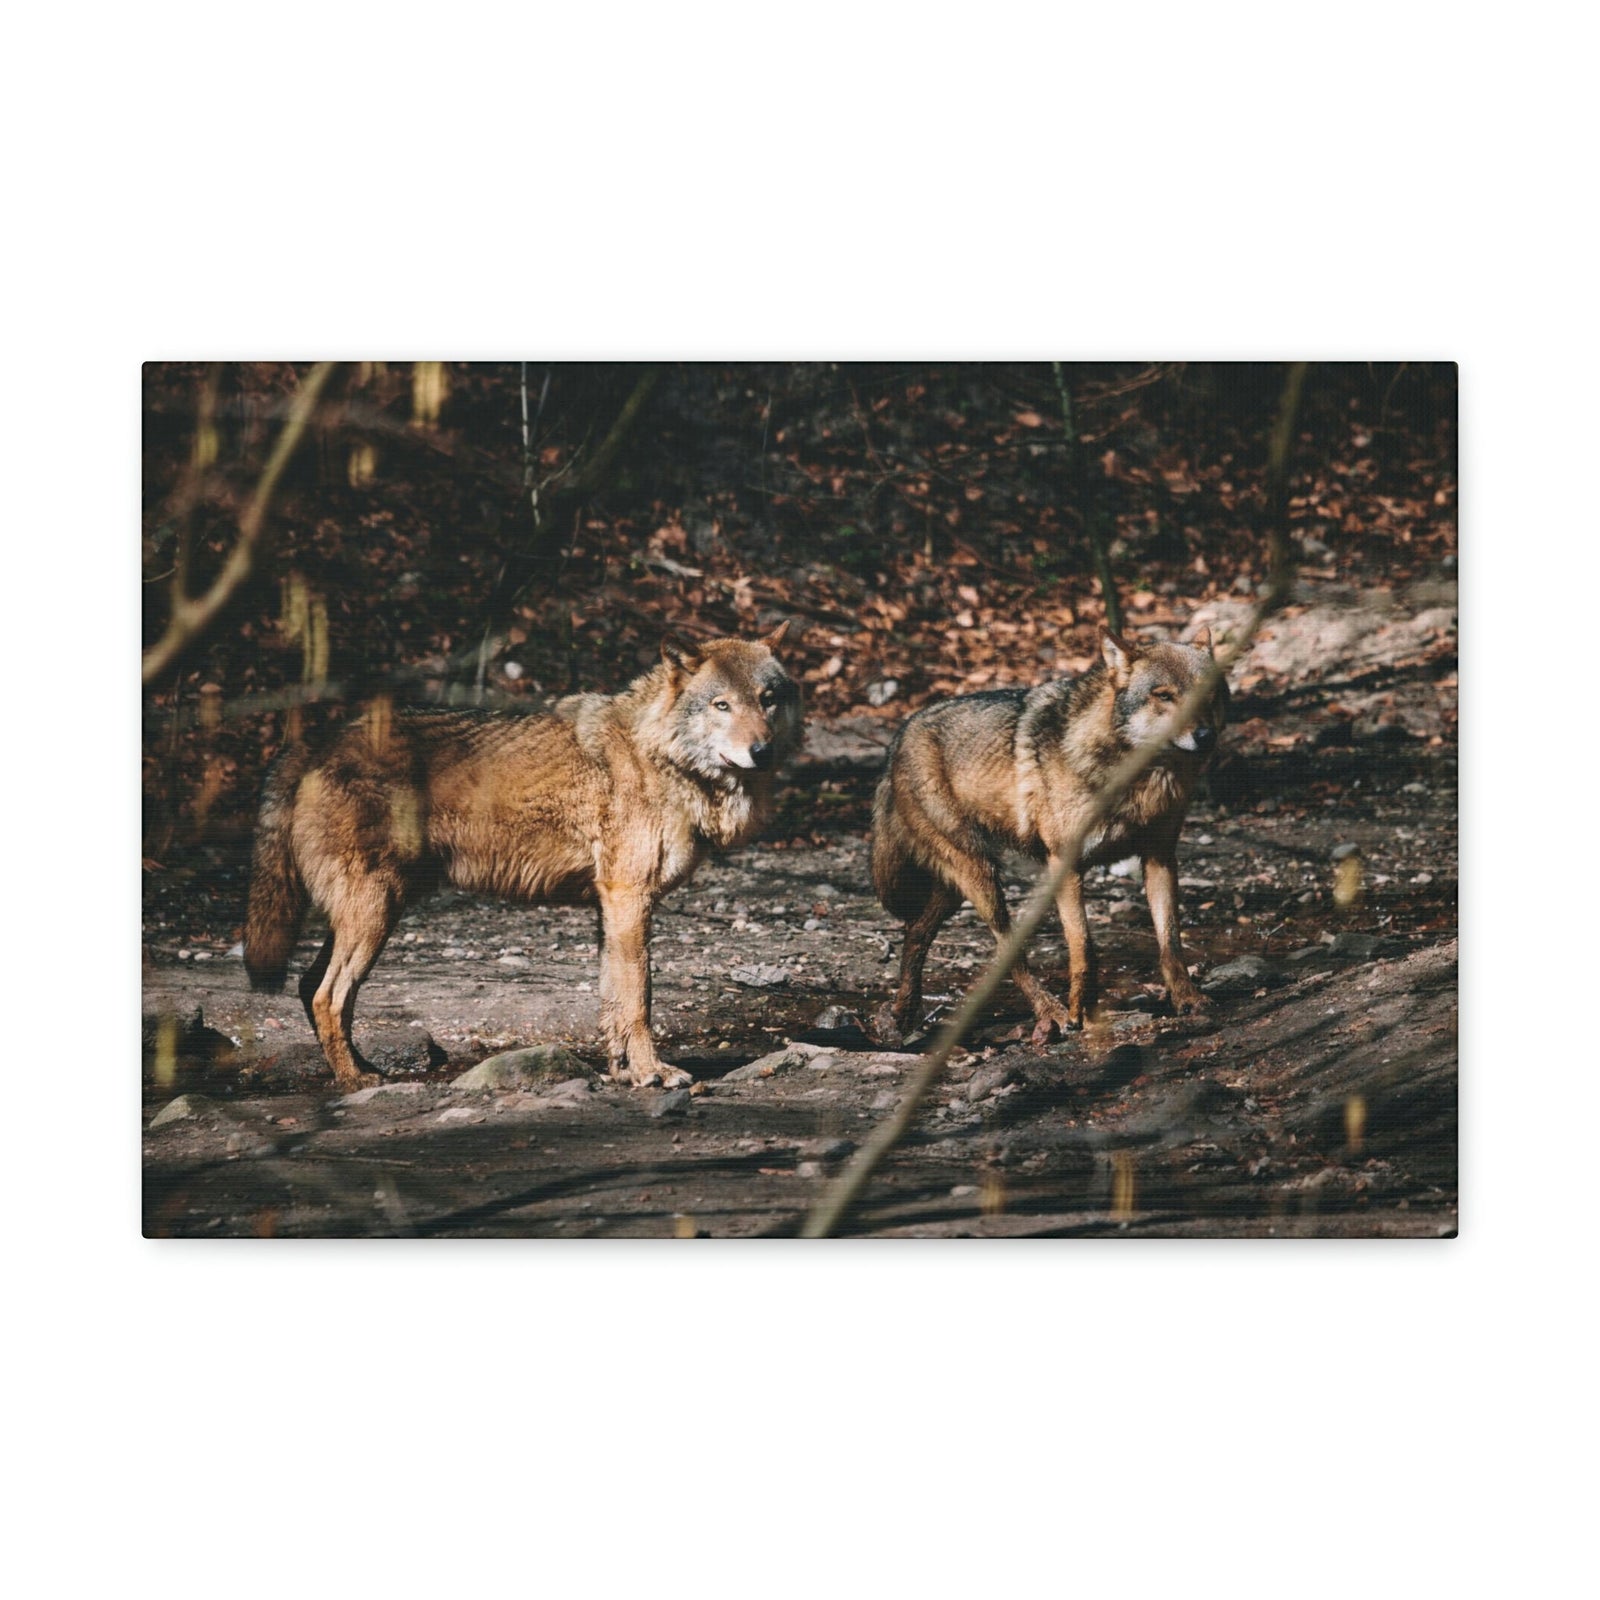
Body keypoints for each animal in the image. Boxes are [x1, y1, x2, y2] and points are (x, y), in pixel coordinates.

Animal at [243, 626, 802, 1090]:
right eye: (722, 705)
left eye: (767, 700)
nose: (762, 752)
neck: (660, 757)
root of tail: (315, 743)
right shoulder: (630, 898)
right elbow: (639, 999)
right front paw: (652, 1073)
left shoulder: (611, 908)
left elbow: (613, 1001)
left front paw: (623, 1071)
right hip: (375, 913)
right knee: (327, 996)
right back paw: (355, 1080)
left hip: (370, 913)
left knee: (310, 985)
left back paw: (364, 1068)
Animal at [871, 627, 1227, 1043]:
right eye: (1164, 695)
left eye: (1208, 693)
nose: (1204, 736)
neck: (1137, 776)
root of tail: (900, 734)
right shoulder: (1064, 864)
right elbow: (1083, 948)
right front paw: (1080, 1013)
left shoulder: (1160, 857)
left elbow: (1171, 942)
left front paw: (1188, 999)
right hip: (981, 877)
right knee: (1008, 949)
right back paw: (1051, 1013)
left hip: (955, 888)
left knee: (914, 933)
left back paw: (902, 1014)